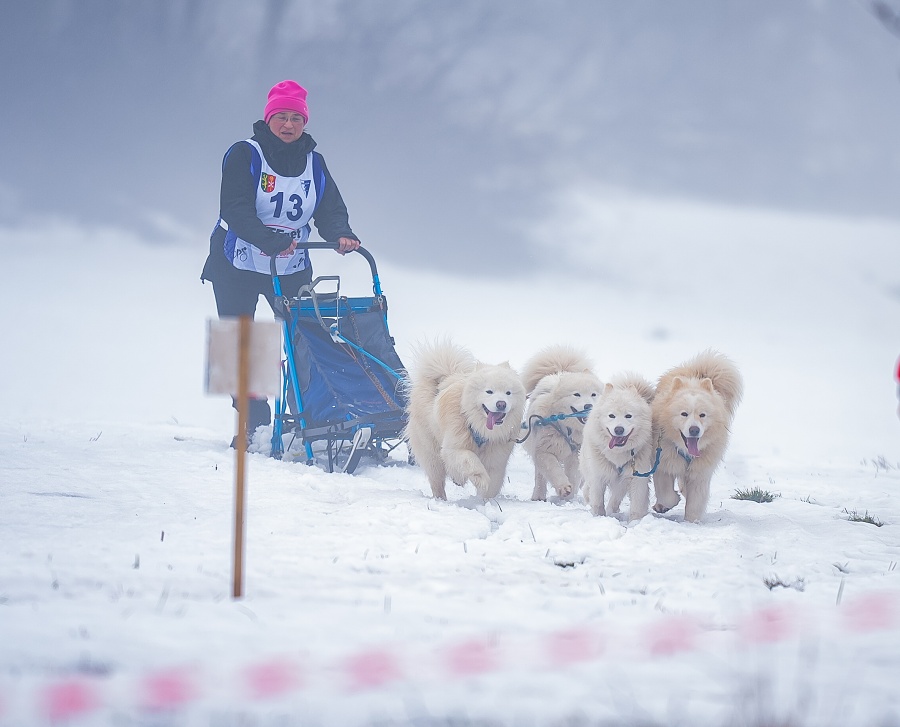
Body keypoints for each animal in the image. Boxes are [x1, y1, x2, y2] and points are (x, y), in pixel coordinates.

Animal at [402, 342, 524, 500]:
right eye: (489, 391)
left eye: (508, 393)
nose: (501, 404)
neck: (479, 427)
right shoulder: (453, 447)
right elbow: (470, 458)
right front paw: (481, 478)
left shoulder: (496, 458)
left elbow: (493, 484)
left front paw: (485, 501)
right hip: (432, 454)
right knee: (437, 480)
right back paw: (441, 498)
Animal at [516, 346, 600, 500]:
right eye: (576, 394)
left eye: (593, 394)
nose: (588, 406)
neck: (567, 428)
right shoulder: (544, 450)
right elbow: (554, 469)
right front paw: (564, 488)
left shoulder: (576, 454)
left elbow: (574, 475)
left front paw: (569, 495)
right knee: (540, 477)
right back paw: (538, 496)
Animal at [580, 372, 656, 520]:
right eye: (611, 415)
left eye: (628, 416)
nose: (619, 429)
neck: (618, 454)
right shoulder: (598, 475)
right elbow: (597, 502)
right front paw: (598, 517)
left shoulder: (636, 477)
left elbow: (636, 506)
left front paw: (635, 522)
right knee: (587, 488)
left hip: (621, 481)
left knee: (615, 498)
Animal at [652, 352, 740, 524]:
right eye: (684, 414)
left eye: (702, 415)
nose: (694, 430)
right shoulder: (663, 462)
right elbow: (666, 494)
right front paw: (667, 504)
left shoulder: (700, 471)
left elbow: (695, 501)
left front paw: (691, 523)